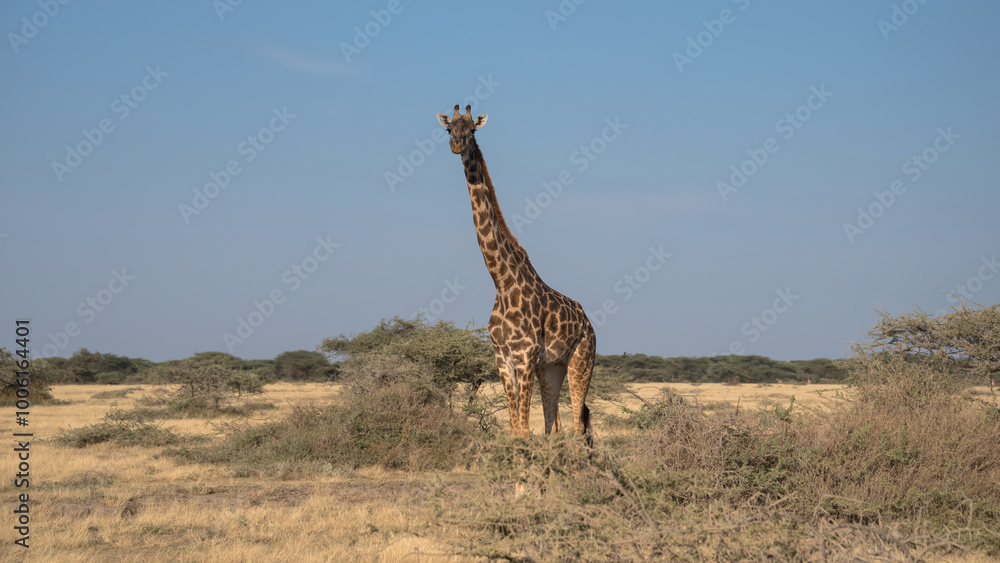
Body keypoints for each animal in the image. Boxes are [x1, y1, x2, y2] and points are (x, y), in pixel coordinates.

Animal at [436, 104, 596, 442]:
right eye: (448, 129)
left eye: (472, 129)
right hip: (552, 368)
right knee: (552, 426)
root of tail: (588, 322)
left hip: (581, 360)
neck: (501, 280)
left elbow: (523, 430)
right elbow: (515, 430)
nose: (457, 144)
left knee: (578, 426)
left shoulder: (524, 357)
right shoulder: (502, 358)